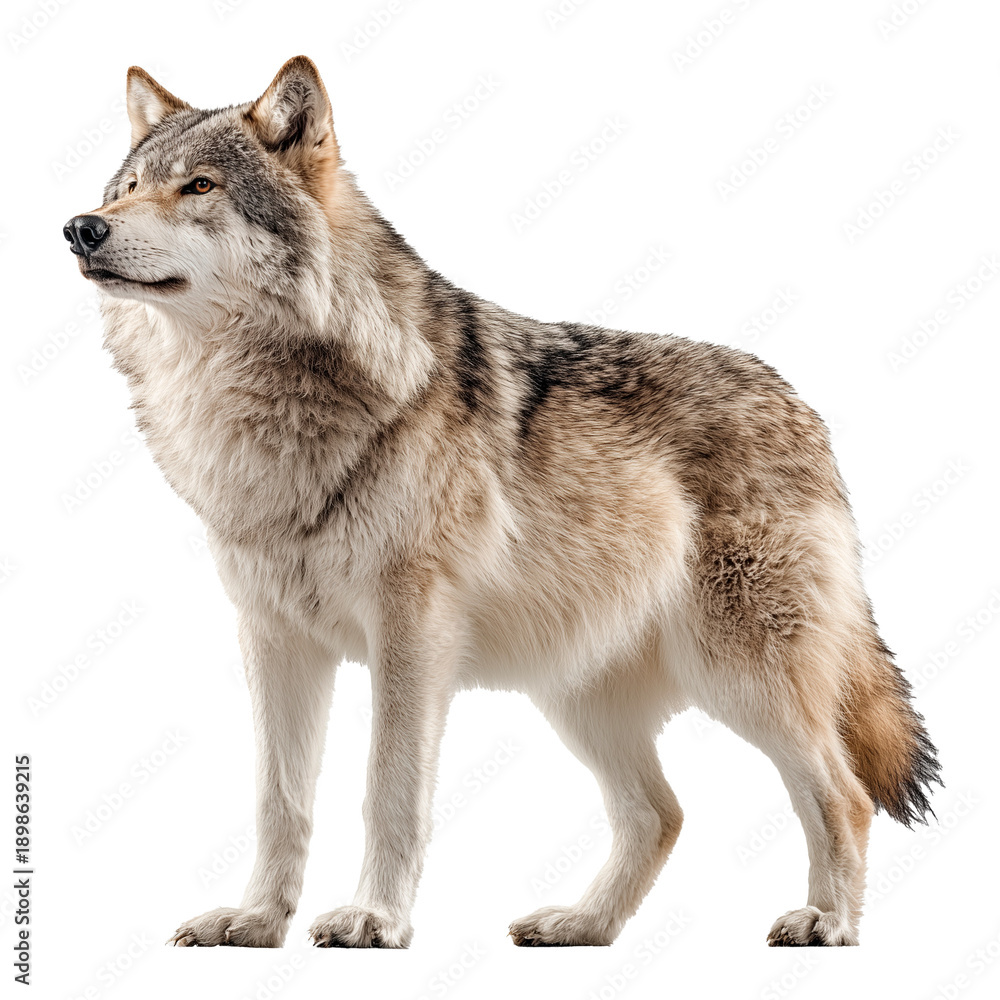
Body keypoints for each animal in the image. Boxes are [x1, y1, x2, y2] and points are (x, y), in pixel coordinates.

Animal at [63, 57, 940, 949]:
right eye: (128, 187)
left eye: (199, 186)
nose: (81, 228)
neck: (254, 412)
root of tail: (801, 404)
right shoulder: (274, 639)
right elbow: (280, 802)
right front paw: (256, 920)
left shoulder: (410, 633)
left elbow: (388, 791)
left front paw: (375, 919)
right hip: (581, 698)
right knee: (661, 814)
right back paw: (582, 925)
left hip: (741, 677)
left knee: (842, 795)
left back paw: (826, 922)